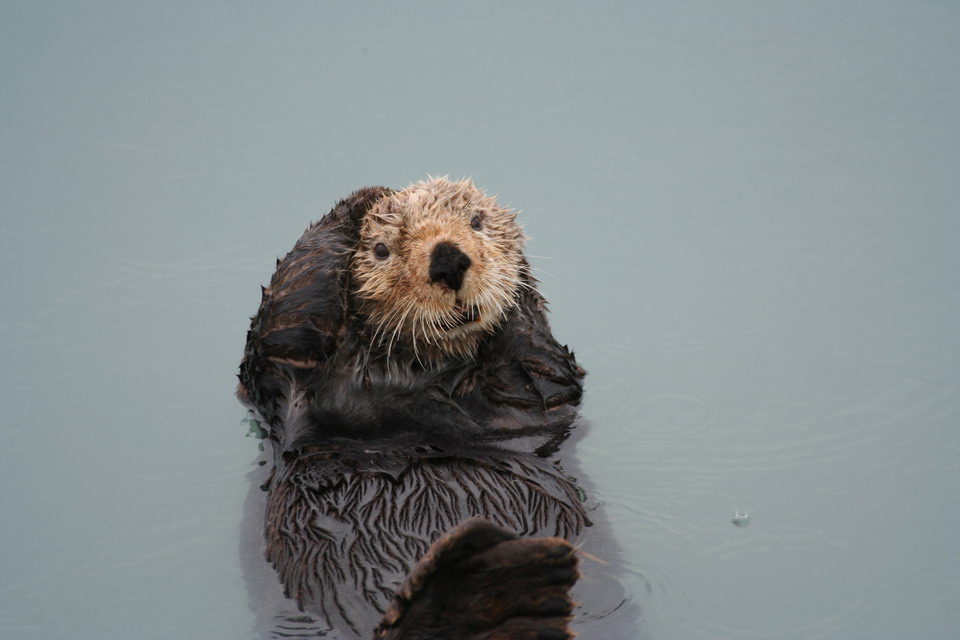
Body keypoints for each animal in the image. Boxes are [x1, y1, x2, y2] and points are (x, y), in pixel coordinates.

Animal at [238, 178, 588, 639]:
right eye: (381, 249)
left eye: (476, 221)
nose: (448, 259)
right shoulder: (280, 376)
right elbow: (290, 307)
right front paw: (366, 199)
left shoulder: (534, 392)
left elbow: (541, 367)